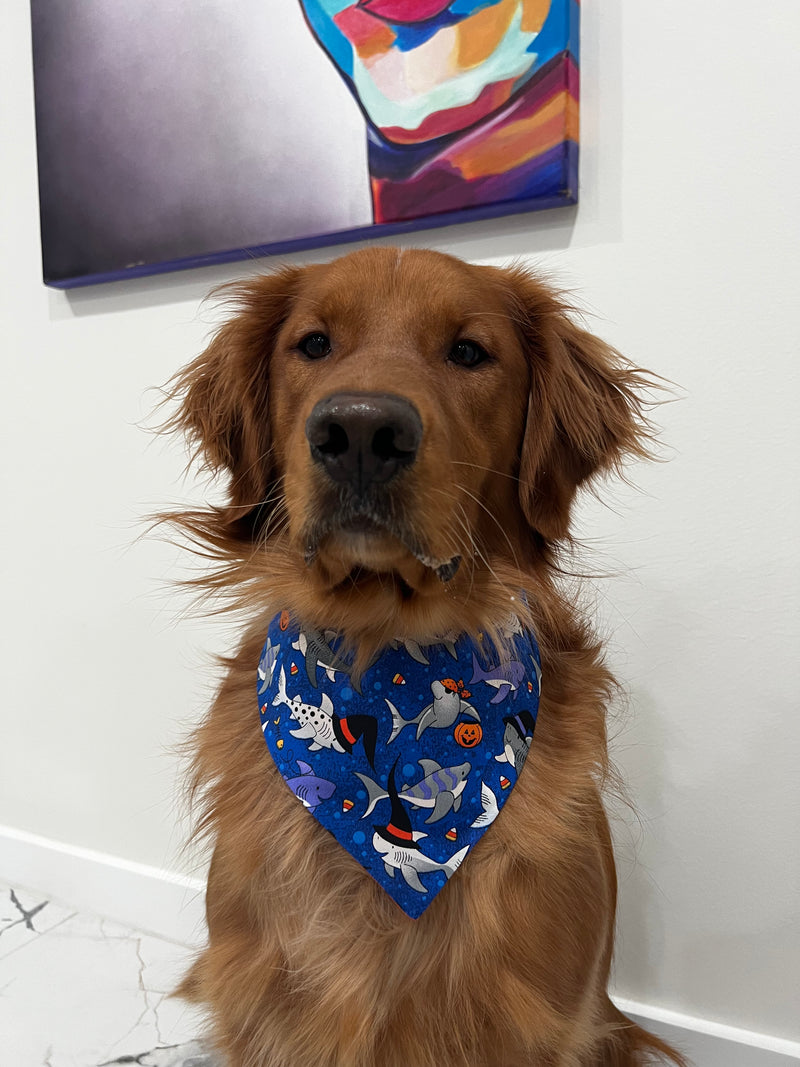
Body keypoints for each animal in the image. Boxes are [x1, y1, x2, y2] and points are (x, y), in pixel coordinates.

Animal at [164, 245, 691, 1062]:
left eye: (469, 352)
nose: (358, 433)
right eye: (314, 344)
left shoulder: (536, 1020)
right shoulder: (261, 1007)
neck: (387, 658)